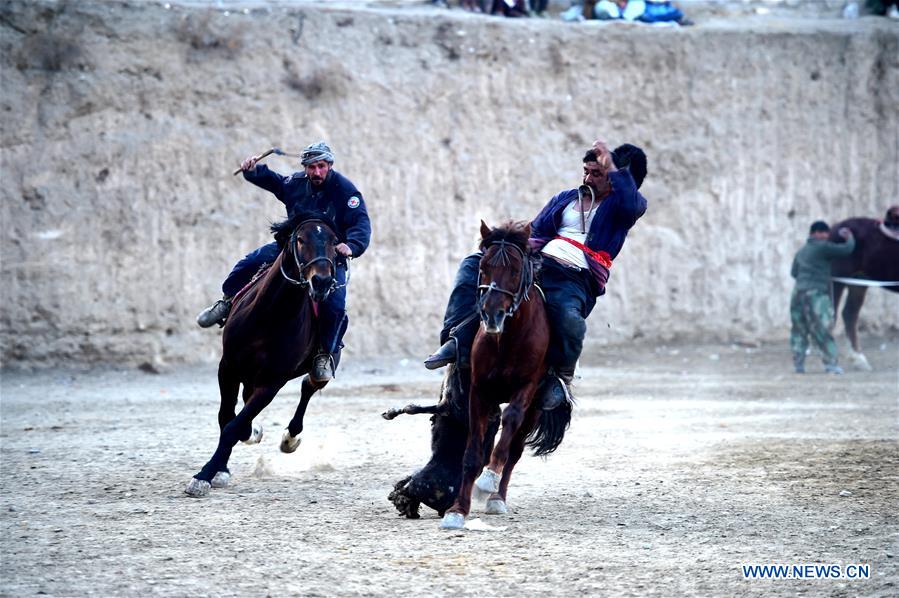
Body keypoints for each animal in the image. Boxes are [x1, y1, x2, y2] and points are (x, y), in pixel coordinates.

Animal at [186, 213, 342, 500]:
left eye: (335, 242)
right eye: (300, 239)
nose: (322, 282)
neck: (271, 315)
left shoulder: (271, 382)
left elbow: (234, 426)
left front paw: (204, 475)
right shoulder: (228, 367)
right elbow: (227, 417)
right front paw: (220, 469)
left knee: (309, 385)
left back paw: (290, 437)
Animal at [442, 221, 576, 528]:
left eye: (515, 270)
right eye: (484, 267)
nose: (492, 314)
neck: (507, 338)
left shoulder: (525, 389)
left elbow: (508, 432)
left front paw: (487, 483)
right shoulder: (479, 391)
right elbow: (472, 453)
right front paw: (457, 510)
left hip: (536, 407)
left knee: (514, 452)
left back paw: (496, 498)